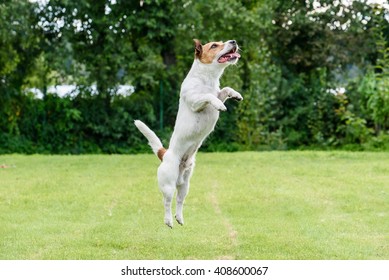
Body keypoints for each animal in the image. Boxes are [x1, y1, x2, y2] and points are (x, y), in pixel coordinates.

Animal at [135, 39, 241, 228]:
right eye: (214, 45)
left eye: (222, 42)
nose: (233, 41)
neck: (207, 80)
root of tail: (164, 154)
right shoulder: (195, 101)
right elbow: (208, 97)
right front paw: (219, 105)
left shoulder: (218, 92)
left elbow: (224, 90)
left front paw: (235, 94)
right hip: (168, 184)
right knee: (166, 202)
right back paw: (169, 221)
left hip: (185, 185)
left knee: (179, 201)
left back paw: (179, 218)